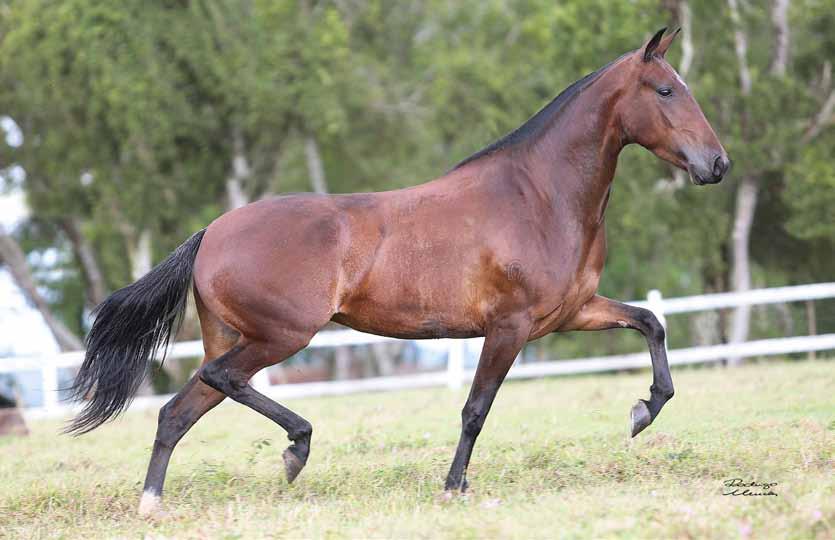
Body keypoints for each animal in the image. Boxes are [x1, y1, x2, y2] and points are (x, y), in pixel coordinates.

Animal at [67, 28, 732, 516]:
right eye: (664, 90)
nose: (718, 165)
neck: (540, 196)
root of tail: (211, 233)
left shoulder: (570, 312)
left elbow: (650, 322)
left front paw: (644, 411)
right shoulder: (510, 326)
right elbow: (475, 408)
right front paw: (453, 487)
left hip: (238, 336)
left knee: (178, 410)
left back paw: (153, 503)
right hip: (281, 335)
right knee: (220, 378)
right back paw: (296, 448)